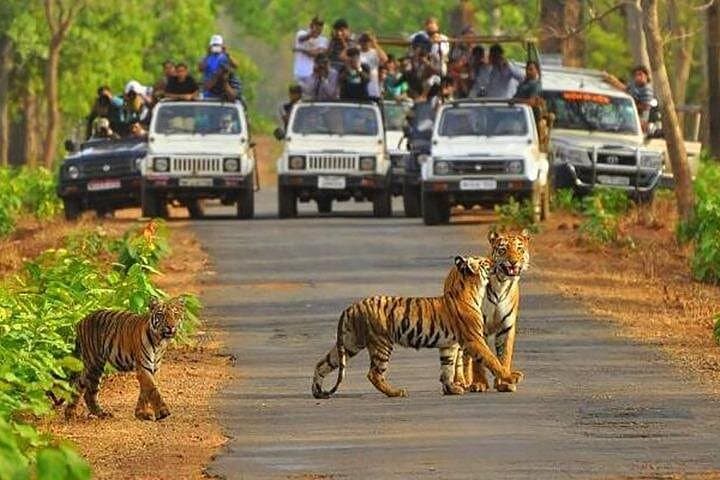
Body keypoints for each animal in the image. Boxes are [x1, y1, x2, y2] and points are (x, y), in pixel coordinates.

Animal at [311, 255, 524, 399]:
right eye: (486, 262)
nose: (496, 262)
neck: (472, 290)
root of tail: (351, 307)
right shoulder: (474, 339)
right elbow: (492, 359)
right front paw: (511, 377)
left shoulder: (449, 345)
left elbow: (447, 368)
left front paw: (451, 389)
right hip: (381, 343)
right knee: (374, 374)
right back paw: (396, 392)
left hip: (350, 343)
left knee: (322, 363)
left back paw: (317, 391)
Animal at [454, 229, 530, 393]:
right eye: (503, 250)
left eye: (519, 249)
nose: (513, 261)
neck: (502, 283)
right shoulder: (477, 326)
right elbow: (478, 359)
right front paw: (479, 383)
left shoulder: (507, 327)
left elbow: (504, 356)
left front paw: (504, 383)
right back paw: (462, 382)